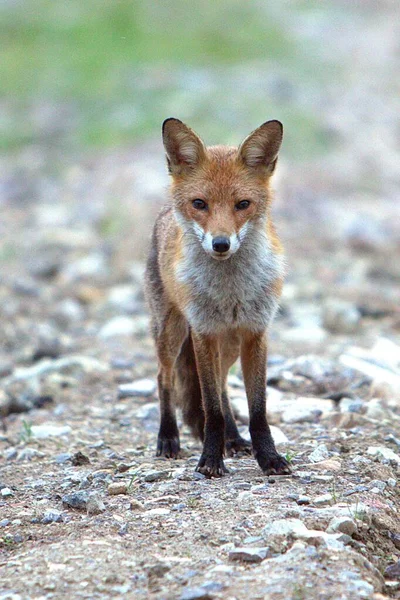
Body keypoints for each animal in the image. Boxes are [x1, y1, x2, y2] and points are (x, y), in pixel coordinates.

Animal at [145, 118, 290, 478]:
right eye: (200, 204)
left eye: (242, 204)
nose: (221, 244)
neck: (230, 292)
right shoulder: (204, 332)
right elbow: (210, 410)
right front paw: (210, 459)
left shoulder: (255, 333)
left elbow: (257, 410)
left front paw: (268, 457)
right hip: (171, 333)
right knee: (164, 378)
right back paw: (168, 438)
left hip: (230, 345)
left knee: (224, 386)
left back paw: (234, 439)